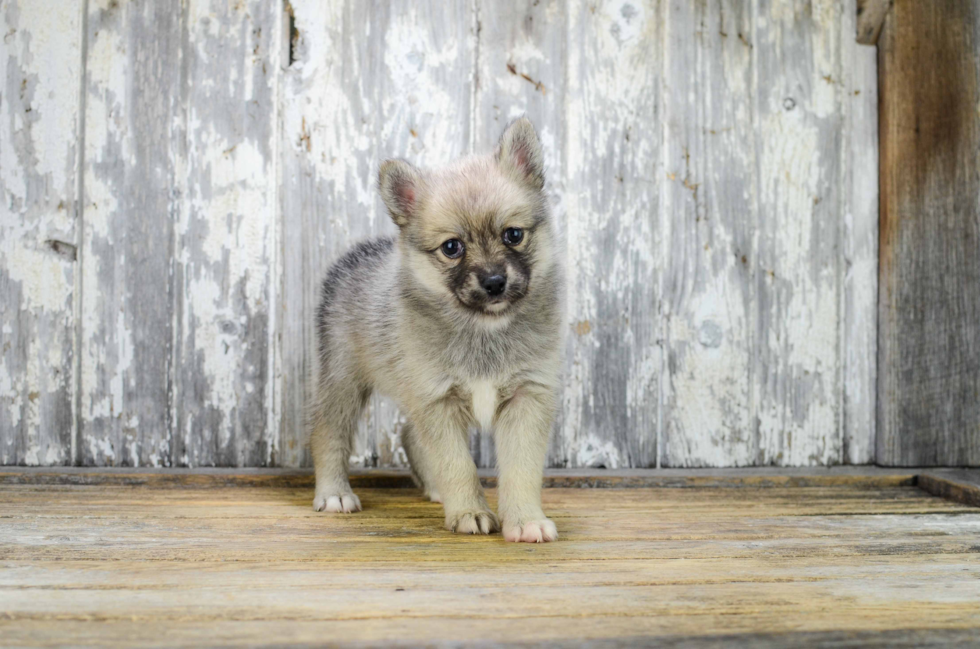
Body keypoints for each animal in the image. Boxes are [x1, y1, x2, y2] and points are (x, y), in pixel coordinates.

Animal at [310, 116, 564, 540]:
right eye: (452, 248)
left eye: (513, 234)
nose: (494, 282)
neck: (483, 328)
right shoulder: (438, 401)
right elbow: (458, 465)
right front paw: (470, 512)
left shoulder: (525, 399)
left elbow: (521, 471)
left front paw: (525, 520)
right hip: (343, 382)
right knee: (328, 433)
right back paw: (333, 494)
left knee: (409, 435)